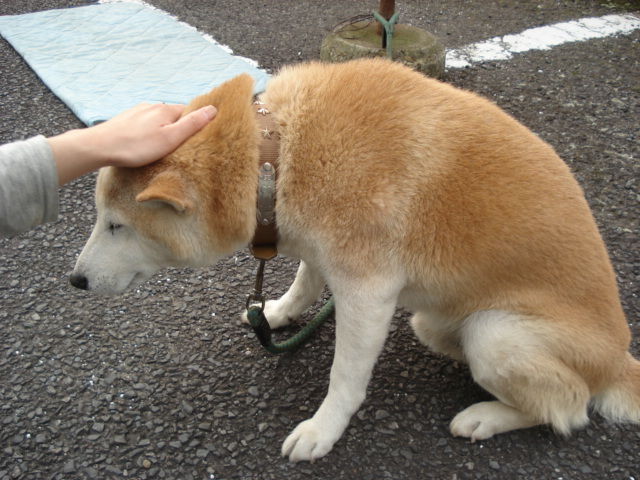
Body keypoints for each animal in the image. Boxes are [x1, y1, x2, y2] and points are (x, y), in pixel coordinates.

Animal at [71, 58, 640, 463]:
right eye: (101, 217)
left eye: (116, 225)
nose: (75, 279)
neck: (278, 153)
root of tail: (619, 359)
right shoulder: (320, 249)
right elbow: (304, 282)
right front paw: (277, 313)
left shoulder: (368, 291)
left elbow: (344, 377)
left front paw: (323, 429)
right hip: (433, 324)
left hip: (496, 334)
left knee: (570, 407)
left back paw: (485, 416)